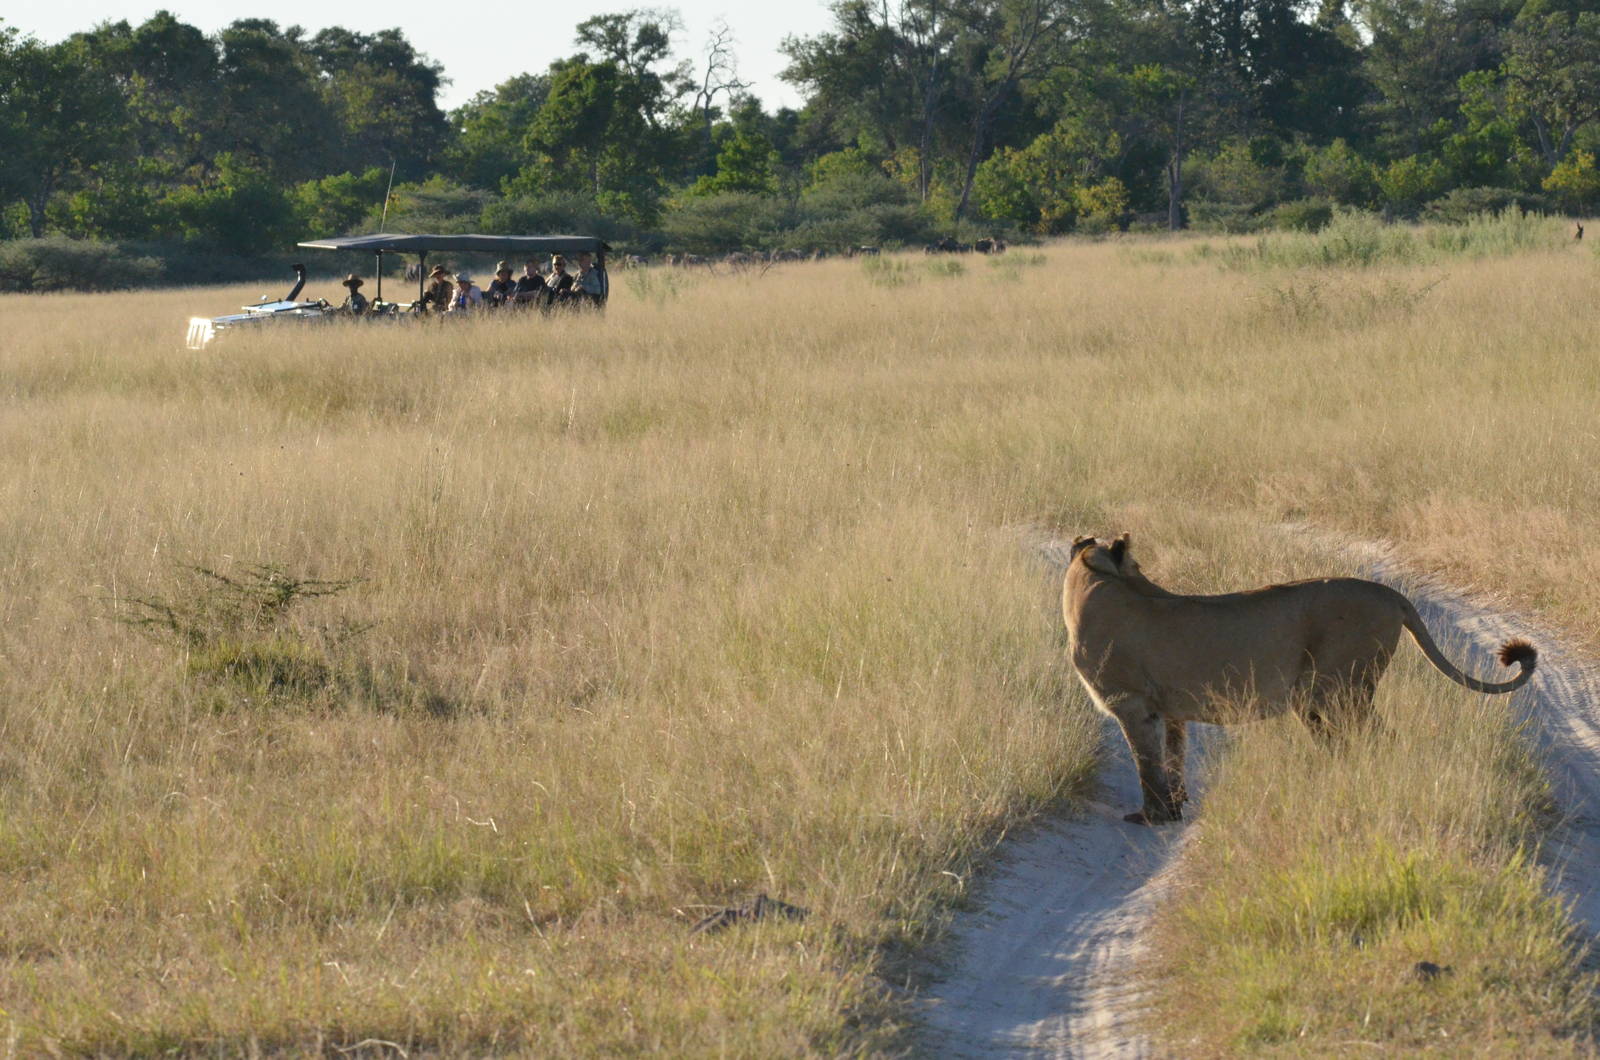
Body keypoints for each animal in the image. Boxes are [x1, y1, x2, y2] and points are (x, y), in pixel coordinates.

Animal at [1063, 534, 1537, 826]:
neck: (1093, 584)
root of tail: (1391, 594)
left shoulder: (1132, 705)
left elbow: (1147, 765)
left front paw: (1151, 817)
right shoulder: (1171, 712)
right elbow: (1173, 760)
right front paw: (1175, 809)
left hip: (1340, 689)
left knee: (1377, 740)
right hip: (1321, 699)